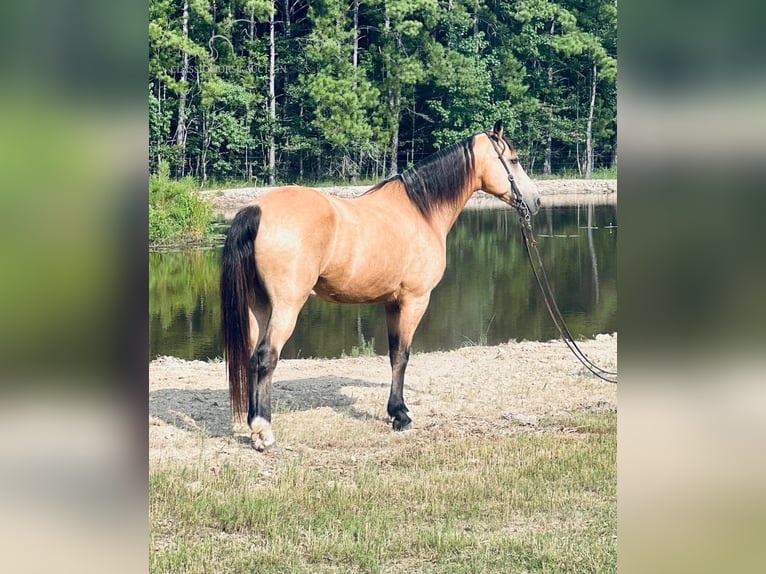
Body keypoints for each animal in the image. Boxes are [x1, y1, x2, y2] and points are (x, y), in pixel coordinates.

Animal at [219, 119, 544, 450]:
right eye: (514, 160)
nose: (536, 202)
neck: (421, 211)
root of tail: (257, 210)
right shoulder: (415, 301)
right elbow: (403, 355)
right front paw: (402, 416)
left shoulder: (392, 303)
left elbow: (392, 355)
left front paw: (395, 411)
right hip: (286, 307)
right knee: (265, 358)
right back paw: (263, 431)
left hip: (258, 307)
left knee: (251, 357)